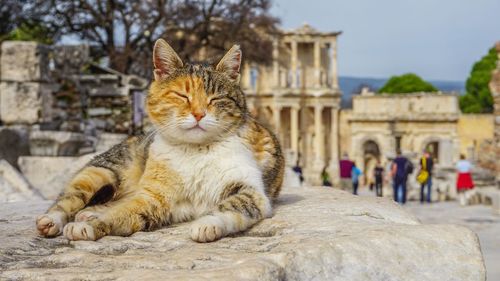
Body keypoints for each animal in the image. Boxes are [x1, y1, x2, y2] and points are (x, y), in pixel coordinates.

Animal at [34, 38, 286, 242]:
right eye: (182, 96)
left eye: (215, 98)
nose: (199, 114)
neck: (195, 151)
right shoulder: (153, 198)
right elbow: (119, 214)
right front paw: (89, 226)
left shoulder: (250, 190)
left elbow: (232, 207)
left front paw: (206, 224)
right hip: (99, 172)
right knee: (70, 198)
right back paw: (53, 220)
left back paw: (89, 213)